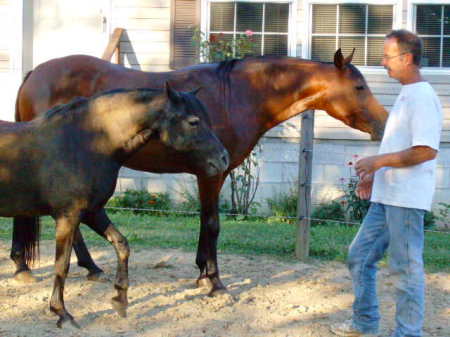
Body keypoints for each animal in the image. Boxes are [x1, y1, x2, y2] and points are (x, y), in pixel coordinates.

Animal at [0, 84, 229, 328]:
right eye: (193, 121)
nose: (224, 158)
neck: (87, 144)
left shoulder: (92, 212)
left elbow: (121, 244)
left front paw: (120, 298)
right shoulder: (68, 216)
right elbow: (62, 265)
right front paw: (62, 313)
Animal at [13, 49, 386, 294]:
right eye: (359, 87)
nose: (383, 123)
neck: (238, 95)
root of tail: (34, 74)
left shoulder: (215, 171)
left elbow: (206, 224)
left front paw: (201, 272)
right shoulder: (211, 172)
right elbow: (212, 224)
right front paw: (215, 281)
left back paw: (83, 267)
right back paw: (26, 266)